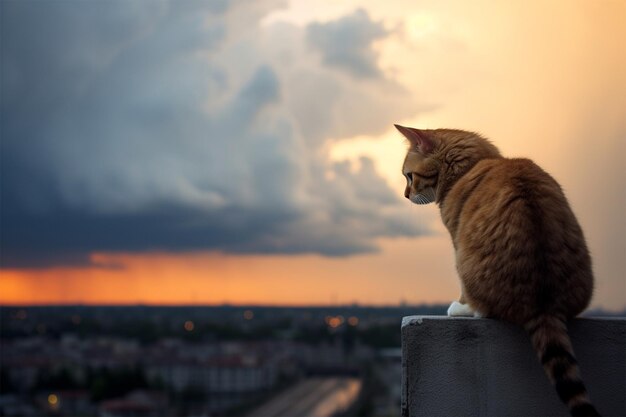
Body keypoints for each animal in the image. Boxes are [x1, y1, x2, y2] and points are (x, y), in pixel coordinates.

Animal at [394, 125, 600, 416]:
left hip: (465, 261)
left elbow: (462, 287)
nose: (405, 195)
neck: (471, 167)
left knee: (482, 308)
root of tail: (544, 304)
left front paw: (460, 304)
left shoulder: (456, 239)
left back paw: (462, 309)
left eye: (409, 176)